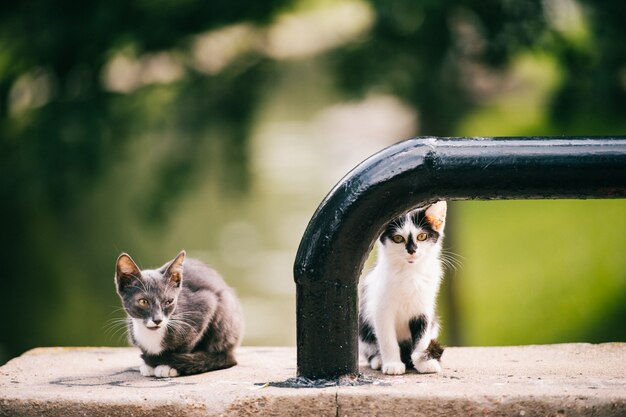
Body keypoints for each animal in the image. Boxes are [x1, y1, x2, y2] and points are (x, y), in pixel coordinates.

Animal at [113, 250, 243, 376]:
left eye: (169, 301)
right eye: (143, 301)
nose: (158, 320)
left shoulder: (205, 304)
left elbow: (187, 345)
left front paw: (167, 366)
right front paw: (149, 366)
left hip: (226, 309)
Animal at [358, 202, 446, 374]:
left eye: (422, 236)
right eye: (398, 238)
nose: (412, 250)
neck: (410, 273)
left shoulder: (423, 310)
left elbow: (422, 339)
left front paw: (423, 362)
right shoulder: (381, 310)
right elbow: (387, 339)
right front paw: (392, 364)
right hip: (363, 328)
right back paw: (378, 360)